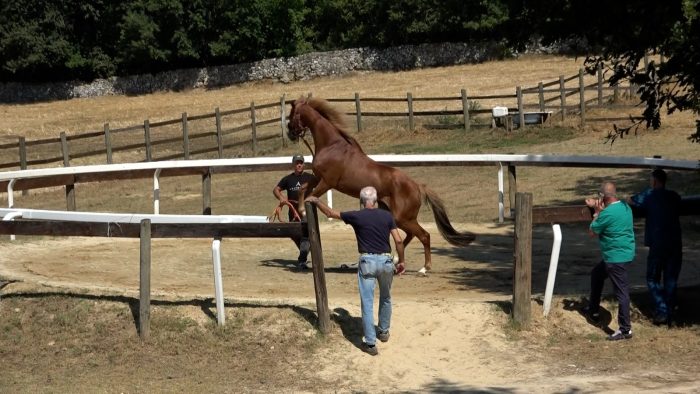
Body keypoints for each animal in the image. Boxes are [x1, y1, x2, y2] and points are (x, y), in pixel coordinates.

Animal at [286, 97, 476, 272]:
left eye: (292, 115)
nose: (290, 133)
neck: (332, 146)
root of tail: (417, 186)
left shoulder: (327, 182)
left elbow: (312, 195)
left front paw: (304, 209)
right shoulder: (317, 177)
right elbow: (303, 188)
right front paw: (301, 210)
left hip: (403, 217)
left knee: (424, 235)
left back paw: (424, 268)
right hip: (396, 216)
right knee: (409, 235)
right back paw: (397, 259)